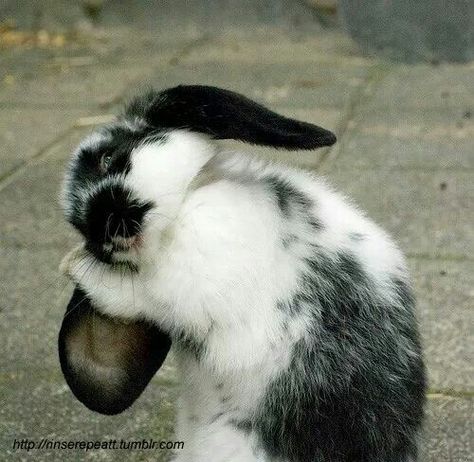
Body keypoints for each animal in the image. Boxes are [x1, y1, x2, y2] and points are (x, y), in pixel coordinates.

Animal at [58, 85, 426, 460]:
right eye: (80, 228)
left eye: (107, 158)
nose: (101, 230)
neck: (185, 207)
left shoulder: (183, 283)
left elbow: (134, 294)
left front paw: (72, 264)